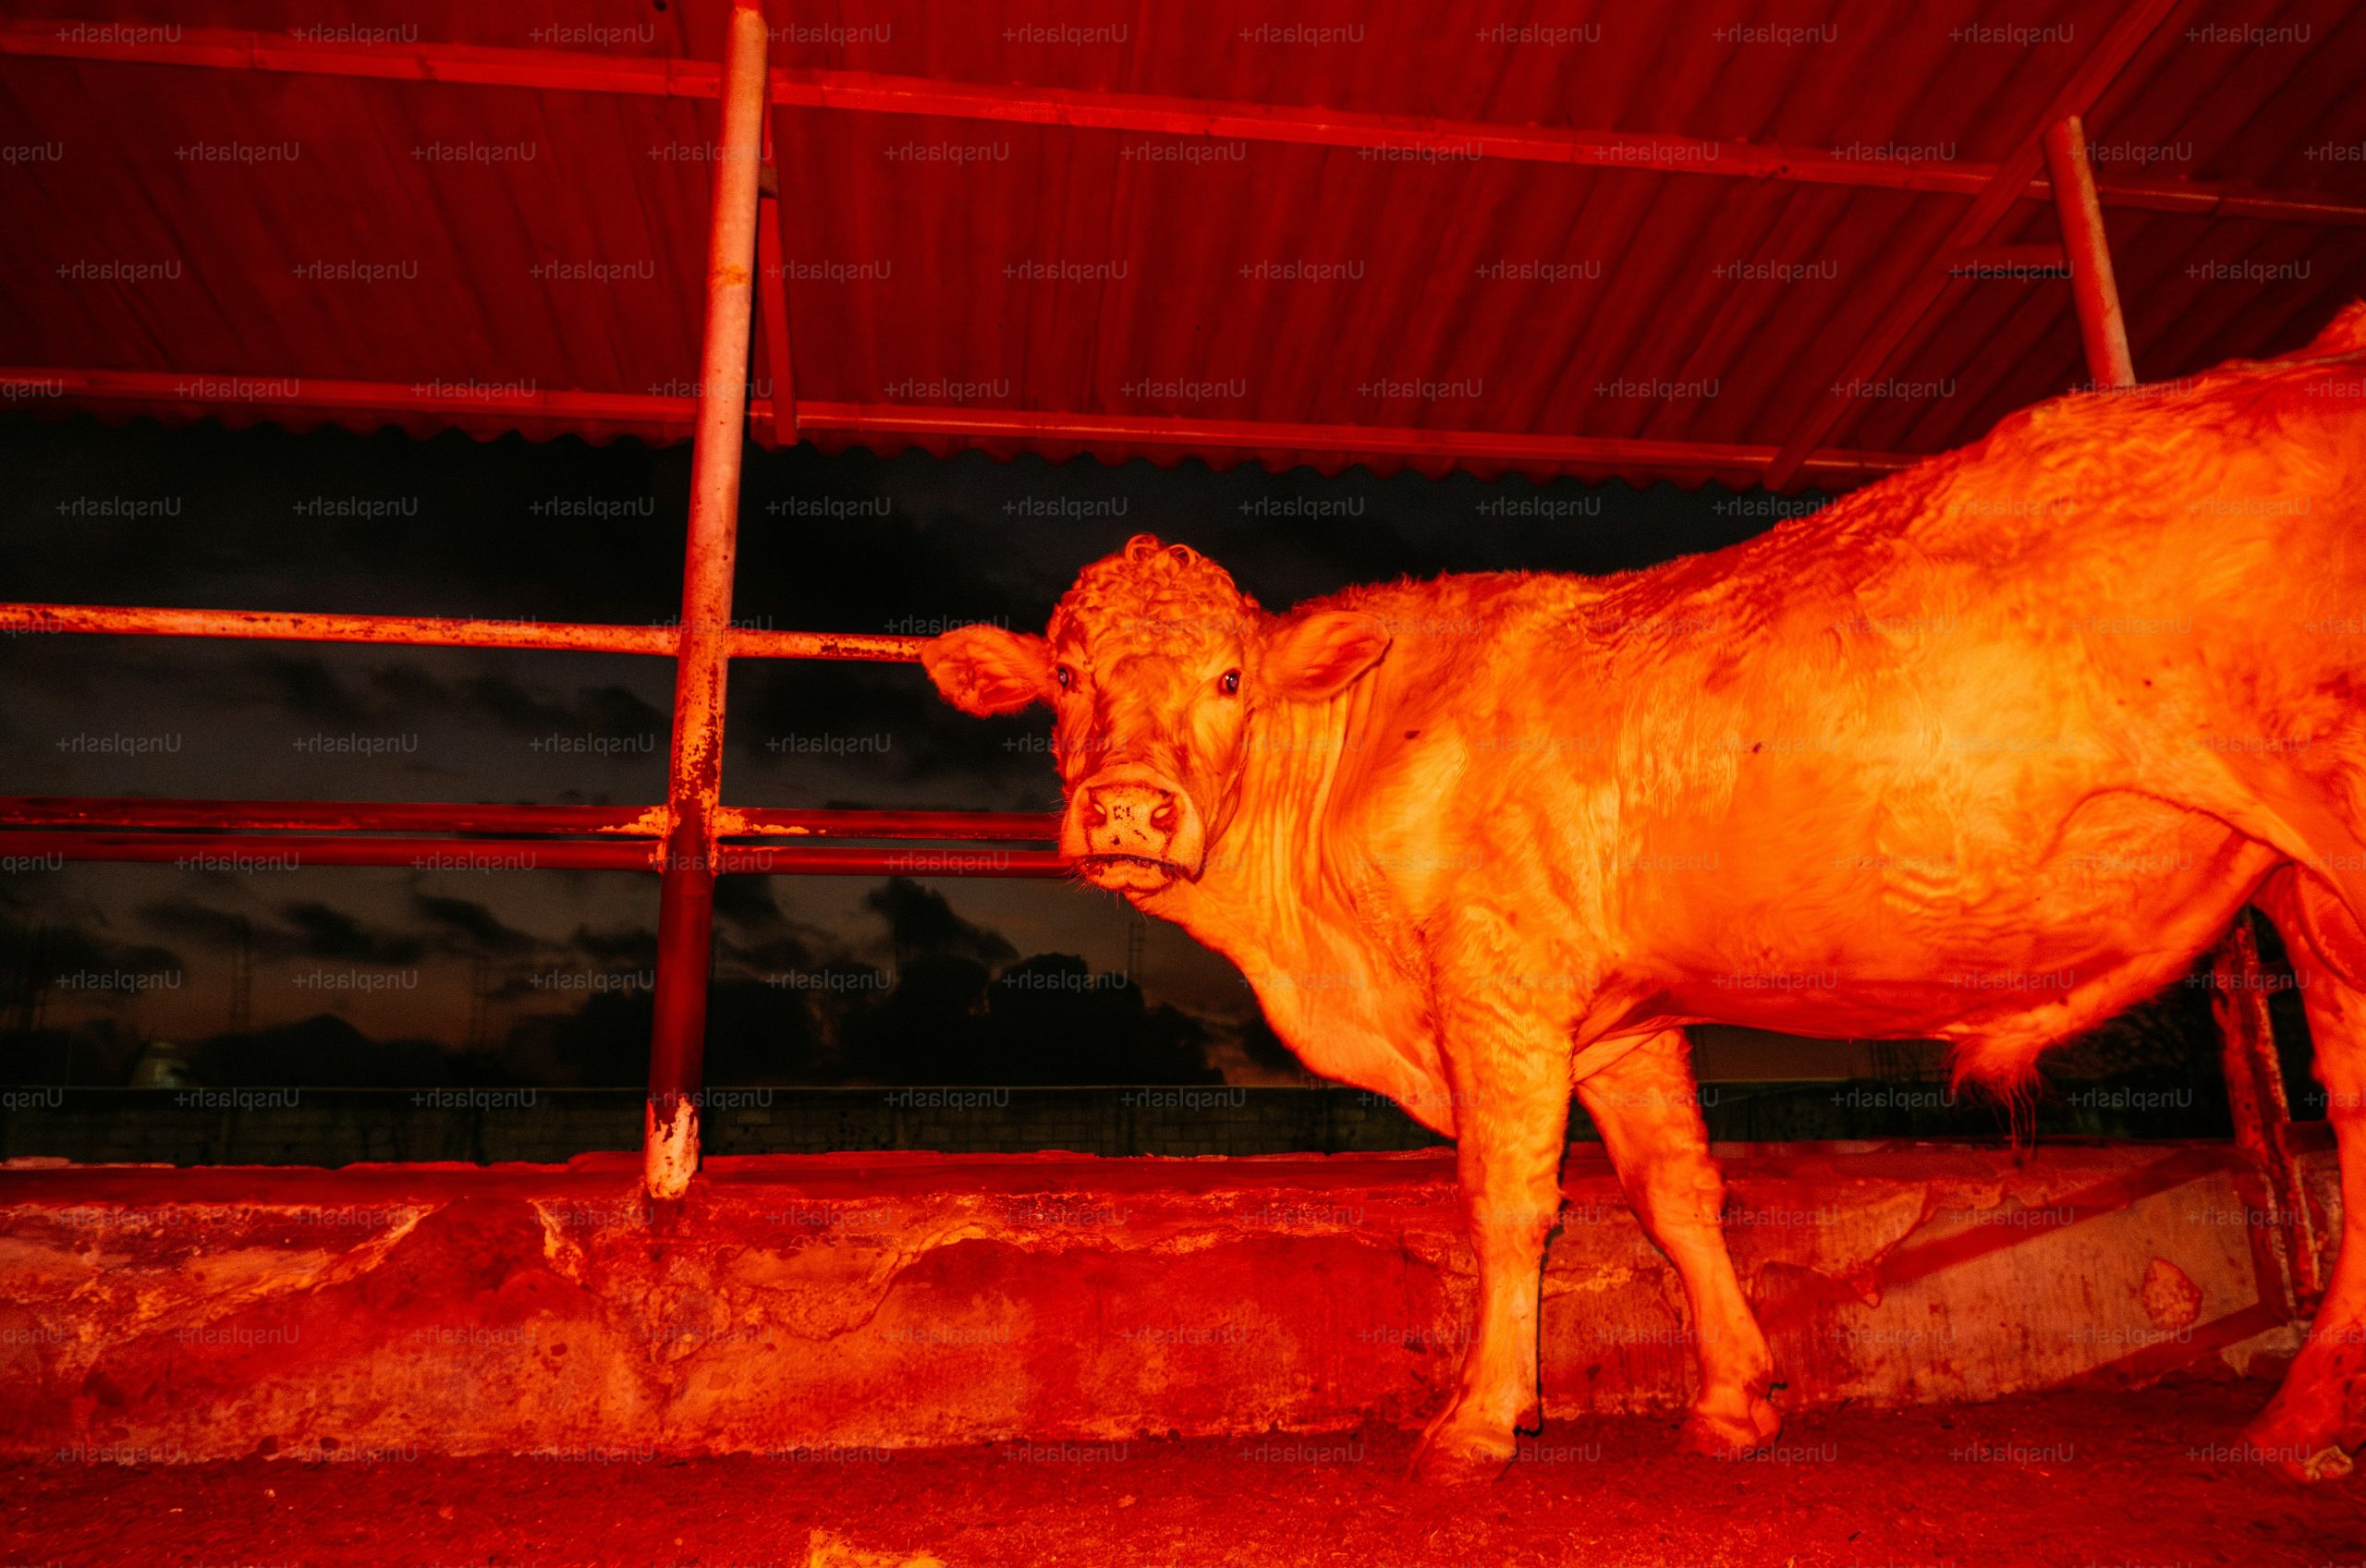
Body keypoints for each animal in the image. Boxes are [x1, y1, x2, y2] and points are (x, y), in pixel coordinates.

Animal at [921, 304, 2366, 1484]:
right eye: (1064, 676)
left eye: (1229, 680)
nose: (1127, 809)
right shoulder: (1623, 1017)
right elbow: (1679, 1193)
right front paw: (1733, 1400)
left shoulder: (1499, 978)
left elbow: (1509, 1197)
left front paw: (1478, 1422)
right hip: (2299, 879)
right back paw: (2304, 1416)